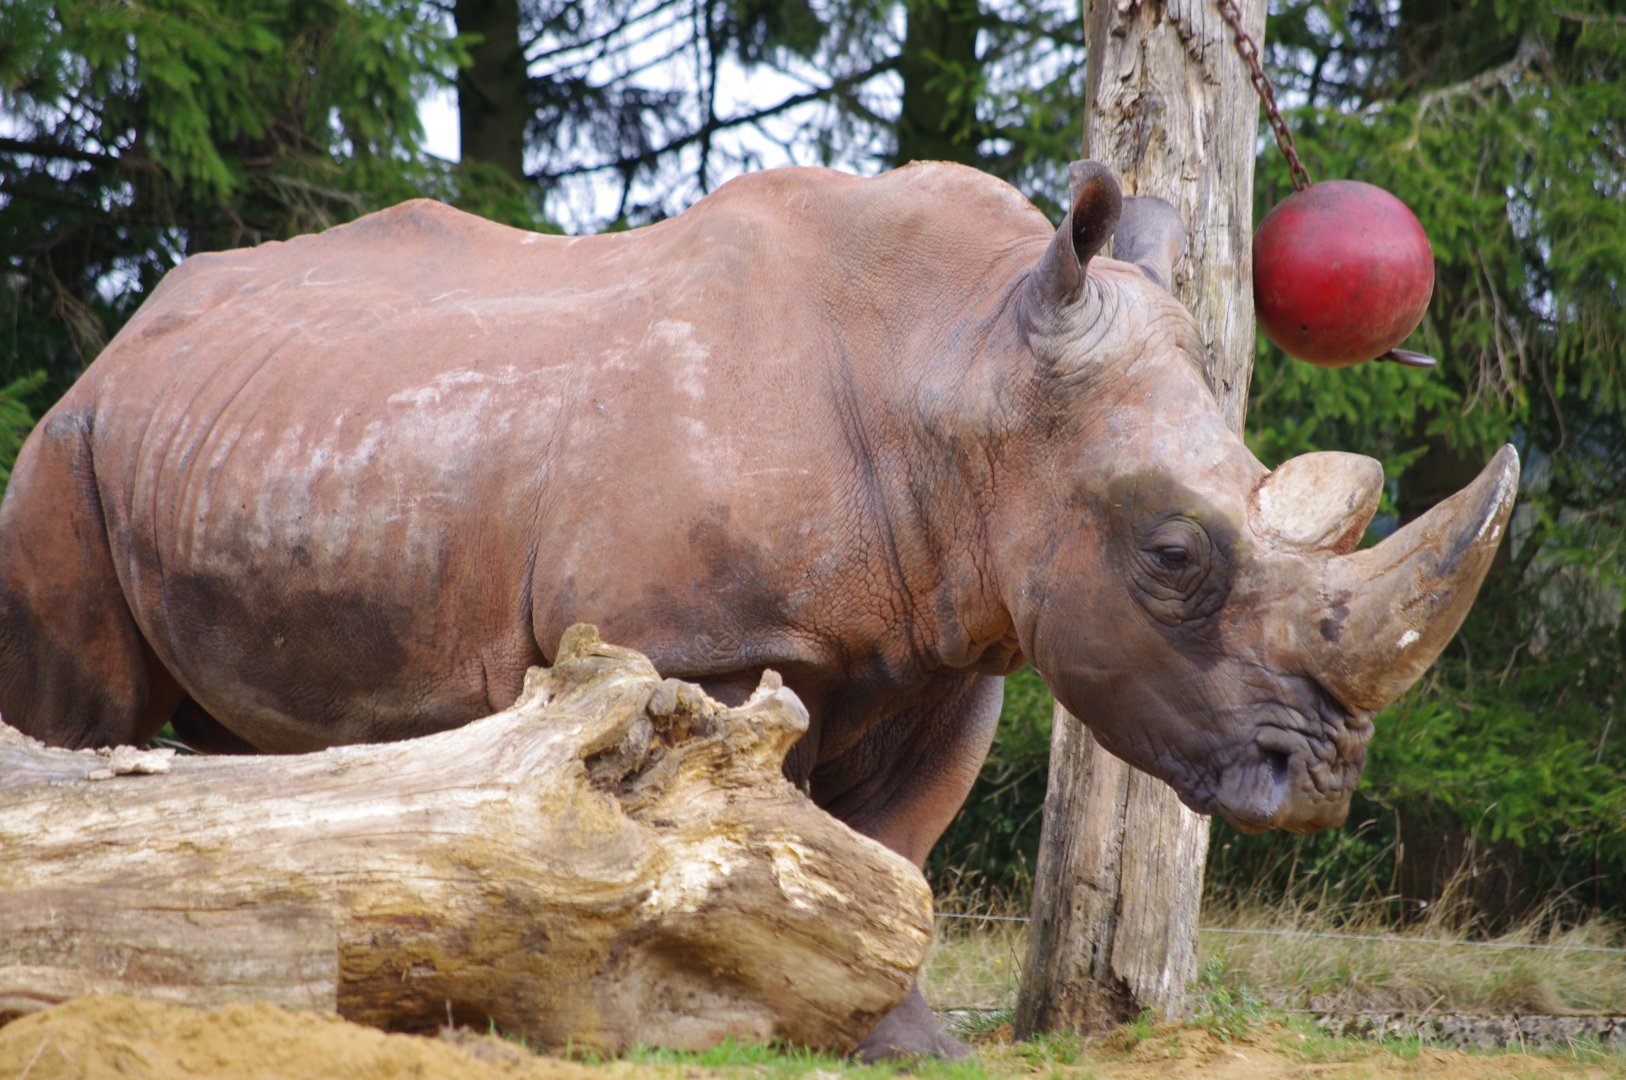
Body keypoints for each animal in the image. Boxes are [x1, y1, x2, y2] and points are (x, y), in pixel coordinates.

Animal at [0, 160, 1516, 1058]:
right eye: (1174, 558)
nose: (1319, 780)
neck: (962, 369)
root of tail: (130, 335)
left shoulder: (954, 640)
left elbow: (893, 851)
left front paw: (893, 1041)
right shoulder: (700, 642)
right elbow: (721, 833)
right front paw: (697, 1010)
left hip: (266, 434)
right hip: (70, 448)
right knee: (81, 713)